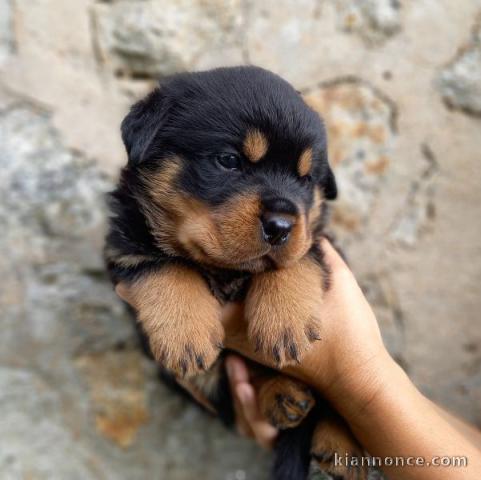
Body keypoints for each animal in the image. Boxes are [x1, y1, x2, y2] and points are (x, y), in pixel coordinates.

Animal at [105, 64, 366, 480]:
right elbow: (165, 266)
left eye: (306, 179)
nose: (281, 225)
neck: (225, 270)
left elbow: (297, 260)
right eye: (229, 160)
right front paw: (186, 335)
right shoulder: (124, 245)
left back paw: (340, 445)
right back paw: (283, 396)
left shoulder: (318, 240)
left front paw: (284, 323)